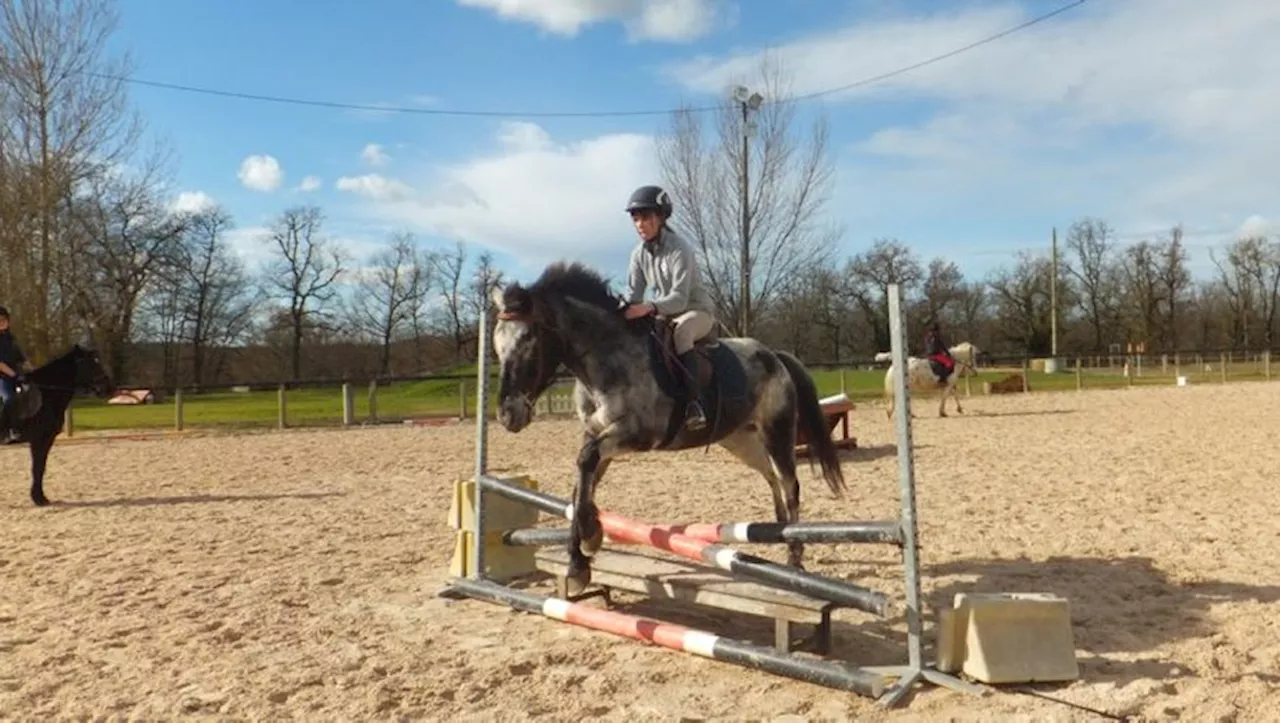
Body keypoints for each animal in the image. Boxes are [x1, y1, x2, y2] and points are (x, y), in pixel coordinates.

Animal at [2, 342, 113, 501]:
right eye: (91, 363)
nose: (108, 388)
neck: (46, 394)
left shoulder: (47, 439)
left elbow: (41, 467)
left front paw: (39, 497)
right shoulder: (40, 439)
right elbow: (37, 467)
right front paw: (39, 498)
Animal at [488, 259, 849, 591]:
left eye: (529, 341)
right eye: (497, 345)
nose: (507, 415)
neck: (606, 361)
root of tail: (774, 355)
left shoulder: (636, 434)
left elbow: (585, 463)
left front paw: (585, 550)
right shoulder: (597, 434)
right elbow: (582, 483)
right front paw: (584, 552)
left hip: (777, 431)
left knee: (790, 484)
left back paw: (795, 556)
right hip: (740, 440)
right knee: (770, 476)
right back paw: (778, 531)